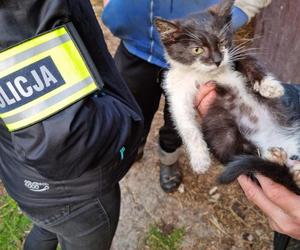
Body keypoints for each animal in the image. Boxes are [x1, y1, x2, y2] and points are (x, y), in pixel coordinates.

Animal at [156, 0, 300, 193]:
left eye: (222, 42)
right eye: (197, 49)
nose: (217, 60)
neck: (205, 74)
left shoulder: (235, 54)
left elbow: (249, 60)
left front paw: (269, 86)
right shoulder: (176, 90)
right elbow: (185, 123)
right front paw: (200, 159)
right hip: (225, 135)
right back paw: (275, 158)